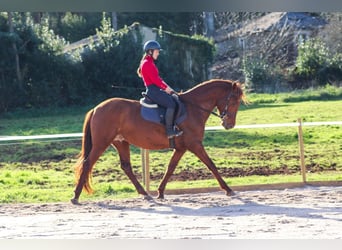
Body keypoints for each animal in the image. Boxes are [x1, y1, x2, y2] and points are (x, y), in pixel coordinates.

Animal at [71, 79, 246, 204]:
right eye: (234, 101)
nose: (229, 125)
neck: (193, 108)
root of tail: (96, 108)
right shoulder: (195, 144)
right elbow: (211, 165)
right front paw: (228, 189)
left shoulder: (181, 148)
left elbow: (170, 167)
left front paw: (160, 192)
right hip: (102, 143)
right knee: (88, 163)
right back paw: (75, 196)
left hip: (121, 142)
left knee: (126, 166)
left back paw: (144, 193)